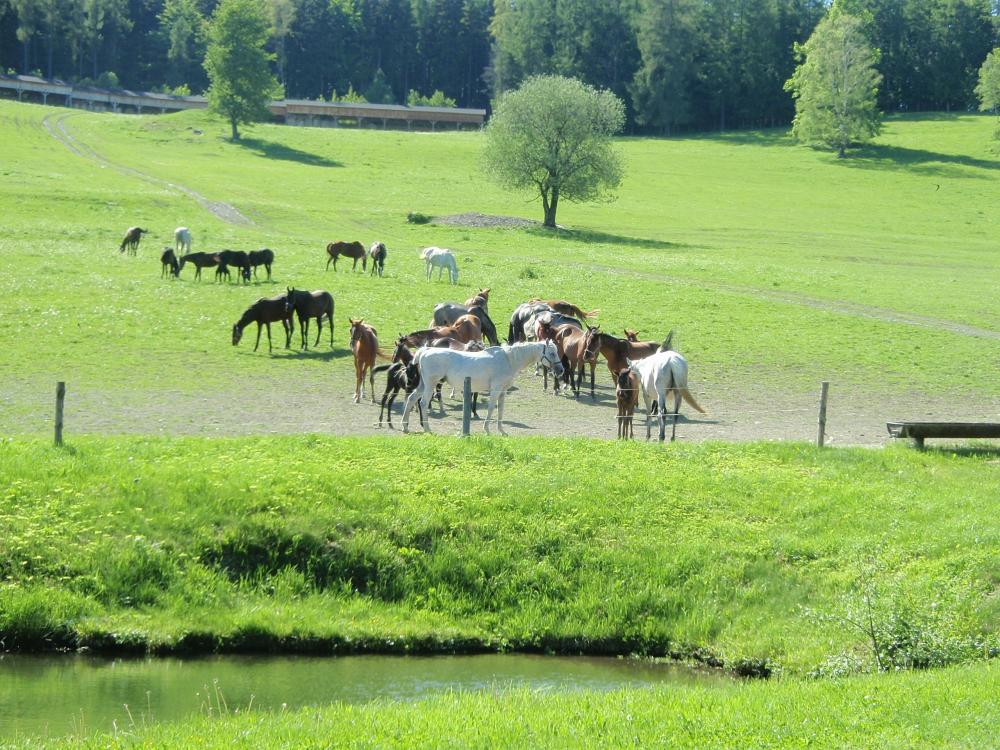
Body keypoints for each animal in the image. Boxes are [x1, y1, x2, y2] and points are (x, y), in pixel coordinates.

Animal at [402, 341, 563, 435]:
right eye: (552, 353)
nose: (561, 370)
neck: (508, 359)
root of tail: (426, 350)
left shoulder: (503, 391)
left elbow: (501, 410)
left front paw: (502, 431)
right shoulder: (496, 389)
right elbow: (491, 408)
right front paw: (487, 430)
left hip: (423, 385)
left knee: (411, 399)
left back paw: (405, 426)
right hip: (430, 385)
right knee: (423, 403)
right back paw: (427, 429)